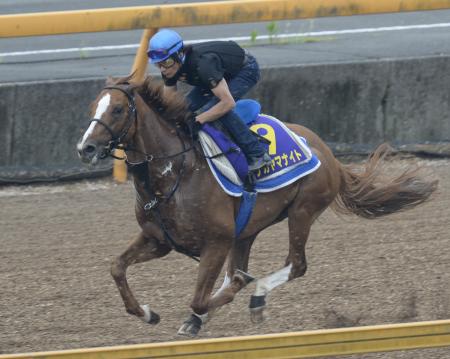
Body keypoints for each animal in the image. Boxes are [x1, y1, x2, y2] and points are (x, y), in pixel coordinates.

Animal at [76, 75, 436, 338]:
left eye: (118, 110)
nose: (86, 147)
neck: (175, 171)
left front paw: (234, 291)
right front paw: (149, 314)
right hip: (247, 229)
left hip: (302, 212)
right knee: (244, 267)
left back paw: (256, 294)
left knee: (296, 264)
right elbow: (117, 267)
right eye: (93, 105)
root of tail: (328, 153)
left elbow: (203, 294)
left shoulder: (216, 241)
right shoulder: (159, 239)